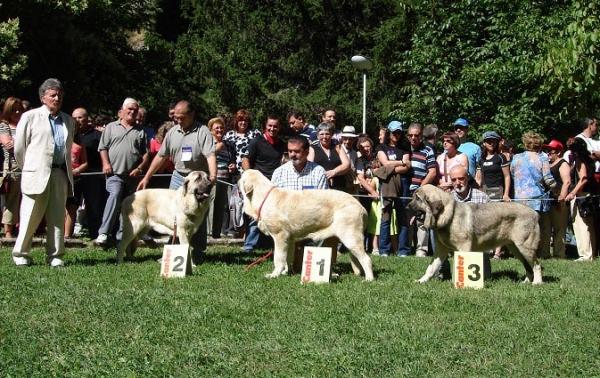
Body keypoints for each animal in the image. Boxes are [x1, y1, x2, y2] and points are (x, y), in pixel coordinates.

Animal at [237, 170, 372, 282]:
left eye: (242, 175)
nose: (236, 181)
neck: (264, 197)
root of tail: (361, 206)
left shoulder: (280, 236)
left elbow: (278, 258)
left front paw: (274, 275)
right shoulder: (289, 240)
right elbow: (288, 258)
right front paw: (285, 273)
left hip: (350, 237)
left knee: (367, 259)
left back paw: (369, 279)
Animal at [408, 185, 544, 284]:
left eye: (418, 198)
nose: (406, 207)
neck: (448, 216)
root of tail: (535, 213)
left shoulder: (464, 247)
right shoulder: (441, 250)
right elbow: (431, 268)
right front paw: (421, 280)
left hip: (524, 246)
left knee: (536, 264)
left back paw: (537, 282)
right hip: (515, 248)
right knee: (528, 265)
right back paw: (526, 281)